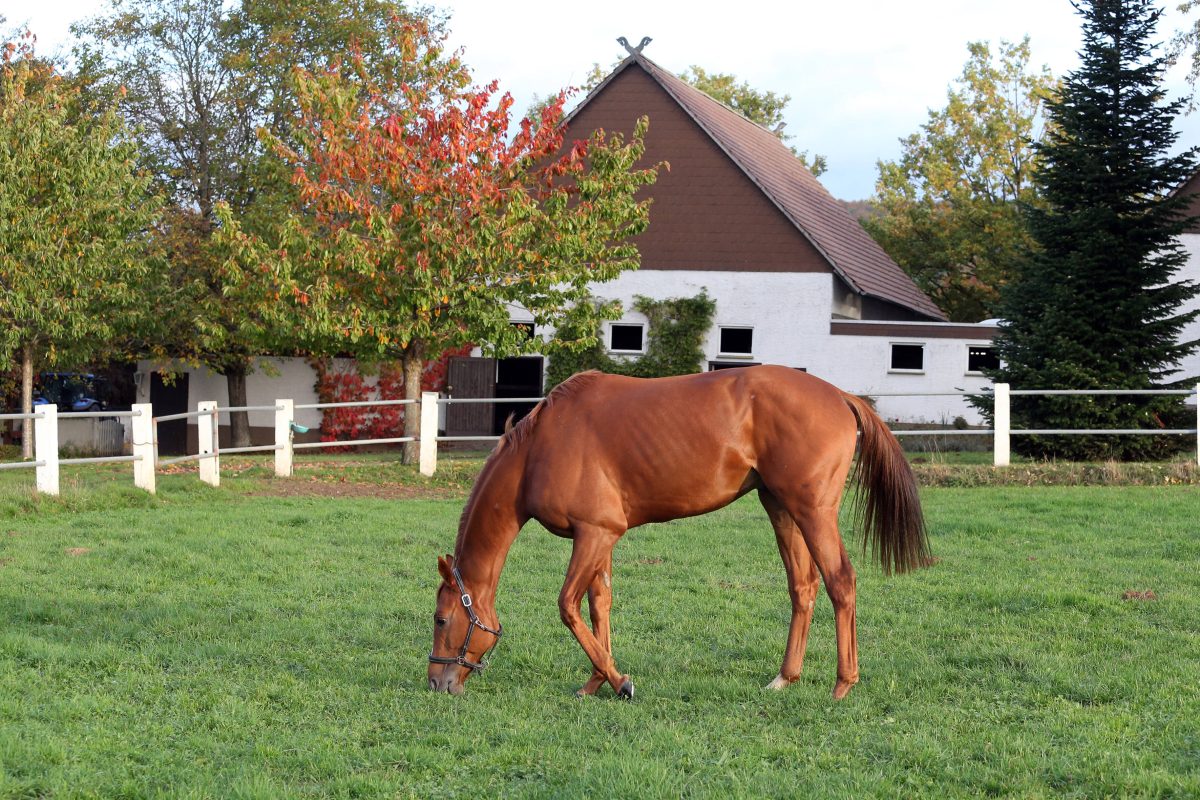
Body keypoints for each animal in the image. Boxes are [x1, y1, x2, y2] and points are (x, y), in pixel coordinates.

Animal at [429, 367, 926, 700]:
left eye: (440, 619)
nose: (436, 682)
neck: (540, 449)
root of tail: (839, 395)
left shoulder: (594, 535)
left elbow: (568, 607)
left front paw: (620, 681)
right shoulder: (600, 537)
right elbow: (599, 606)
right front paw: (598, 679)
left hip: (813, 512)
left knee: (841, 581)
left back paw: (843, 685)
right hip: (781, 508)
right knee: (803, 587)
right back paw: (784, 678)